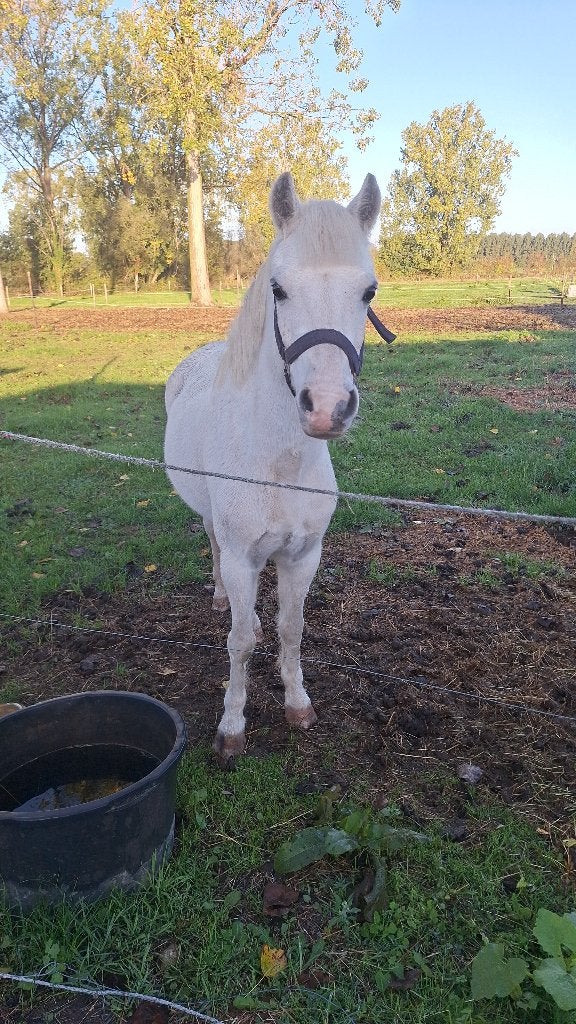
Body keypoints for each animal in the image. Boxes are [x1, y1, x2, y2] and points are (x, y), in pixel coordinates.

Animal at [164, 171, 381, 762]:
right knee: (212, 543)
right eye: (279, 289)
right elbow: (240, 641)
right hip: (210, 520)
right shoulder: (245, 557)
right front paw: (231, 727)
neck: (278, 464)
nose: (327, 407)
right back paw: (219, 596)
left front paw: (298, 705)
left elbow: (290, 629)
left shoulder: (303, 555)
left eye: (369, 292)